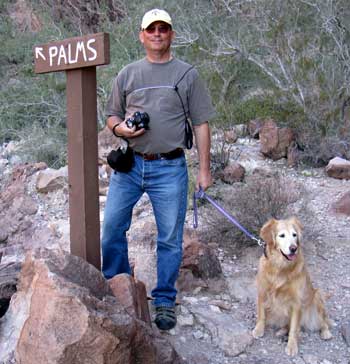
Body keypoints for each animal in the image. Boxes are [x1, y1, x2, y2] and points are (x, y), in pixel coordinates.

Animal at [252, 216, 330, 356]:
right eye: (281, 235)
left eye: (294, 235)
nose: (293, 248)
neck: (281, 267)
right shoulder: (262, 291)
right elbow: (261, 315)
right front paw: (259, 329)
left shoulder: (297, 302)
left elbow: (294, 328)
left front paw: (292, 346)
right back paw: (281, 331)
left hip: (316, 297)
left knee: (324, 320)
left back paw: (326, 332)